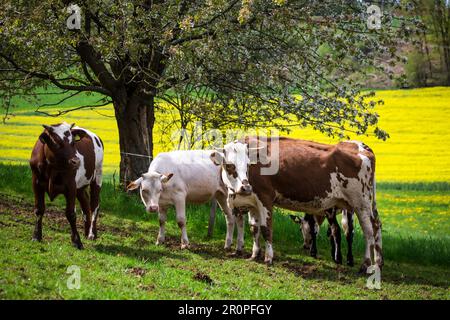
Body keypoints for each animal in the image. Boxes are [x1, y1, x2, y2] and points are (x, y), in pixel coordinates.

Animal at [29, 121, 103, 249]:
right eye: (56, 142)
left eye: (73, 142)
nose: (76, 161)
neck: (52, 168)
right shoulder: (36, 183)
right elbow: (39, 209)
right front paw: (36, 236)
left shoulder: (71, 186)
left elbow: (71, 213)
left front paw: (77, 242)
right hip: (80, 186)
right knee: (85, 203)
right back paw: (86, 231)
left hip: (97, 176)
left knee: (94, 205)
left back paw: (92, 234)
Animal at [211, 137, 384, 272]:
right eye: (229, 165)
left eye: (248, 165)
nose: (245, 188)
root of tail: (363, 149)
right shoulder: (253, 202)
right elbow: (254, 229)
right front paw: (254, 255)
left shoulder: (265, 198)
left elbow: (266, 229)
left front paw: (268, 258)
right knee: (376, 226)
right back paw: (378, 263)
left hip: (361, 203)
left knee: (369, 230)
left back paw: (366, 264)